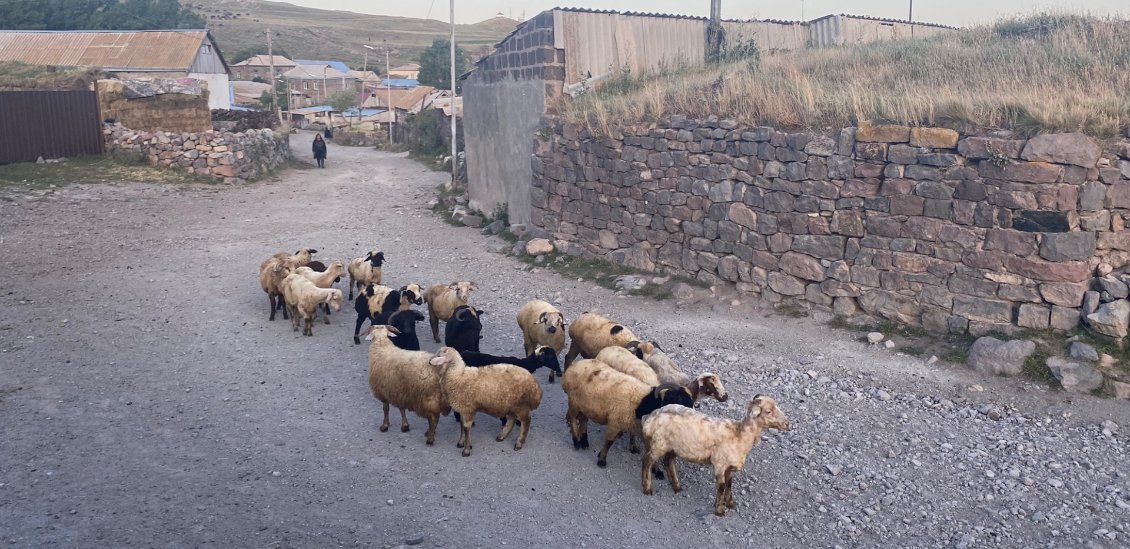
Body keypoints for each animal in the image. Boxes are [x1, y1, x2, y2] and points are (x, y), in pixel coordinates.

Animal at [560, 359, 691, 467]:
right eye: (676, 400)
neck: (643, 403)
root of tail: (572, 367)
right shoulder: (615, 422)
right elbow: (609, 442)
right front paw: (602, 460)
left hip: (584, 405)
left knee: (583, 420)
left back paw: (584, 442)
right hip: (574, 402)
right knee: (572, 418)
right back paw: (576, 442)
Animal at [641, 395, 791, 515]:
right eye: (768, 411)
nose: (788, 424)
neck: (740, 435)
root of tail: (652, 417)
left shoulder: (729, 467)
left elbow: (729, 484)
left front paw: (730, 503)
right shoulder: (719, 464)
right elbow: (722, 486)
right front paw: (719, 509)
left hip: (675, 447)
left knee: (668, 461)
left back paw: (677, 487)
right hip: (659, 444)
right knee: (647, 460)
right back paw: (647, 488)